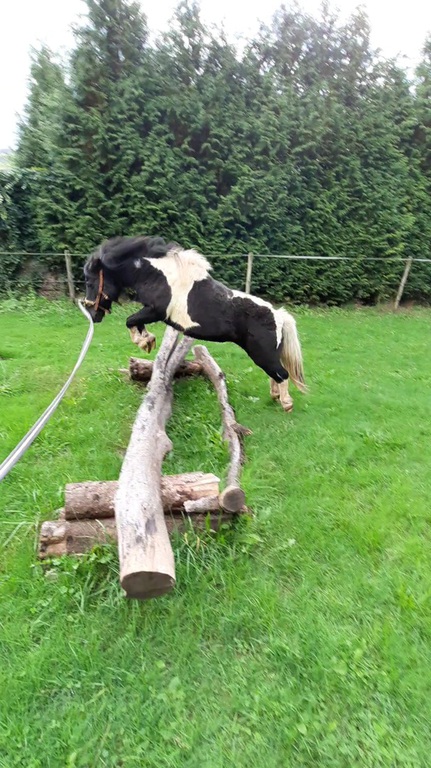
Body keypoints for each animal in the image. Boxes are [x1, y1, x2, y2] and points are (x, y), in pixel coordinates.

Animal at [83, 236, 306, 411]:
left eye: (89, 281)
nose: (92, 314)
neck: (158, 276)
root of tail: (278, 316)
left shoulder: (155, 311)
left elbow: (129, 320)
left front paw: (145, 341)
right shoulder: (151, 312)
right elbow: (134, 323)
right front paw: (146, 340)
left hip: (262, 353)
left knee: (281, 374)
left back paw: (286, 404)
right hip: (266, 354)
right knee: (275, 374)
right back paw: (275, 397)